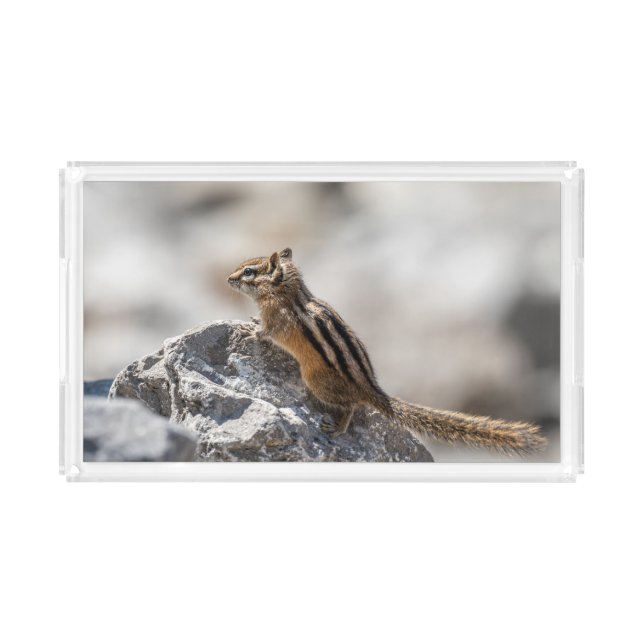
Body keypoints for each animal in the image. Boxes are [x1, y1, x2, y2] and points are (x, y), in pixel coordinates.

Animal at [227, 248, 547, 454]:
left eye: (249, 272)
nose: (228, 279)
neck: (285, 292)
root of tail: (370, 388)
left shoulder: (277, 320)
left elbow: (267, 332)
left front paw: (248, 331)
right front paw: (250, 323)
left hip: (316, 382)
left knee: (351, 407)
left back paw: (338, 428)